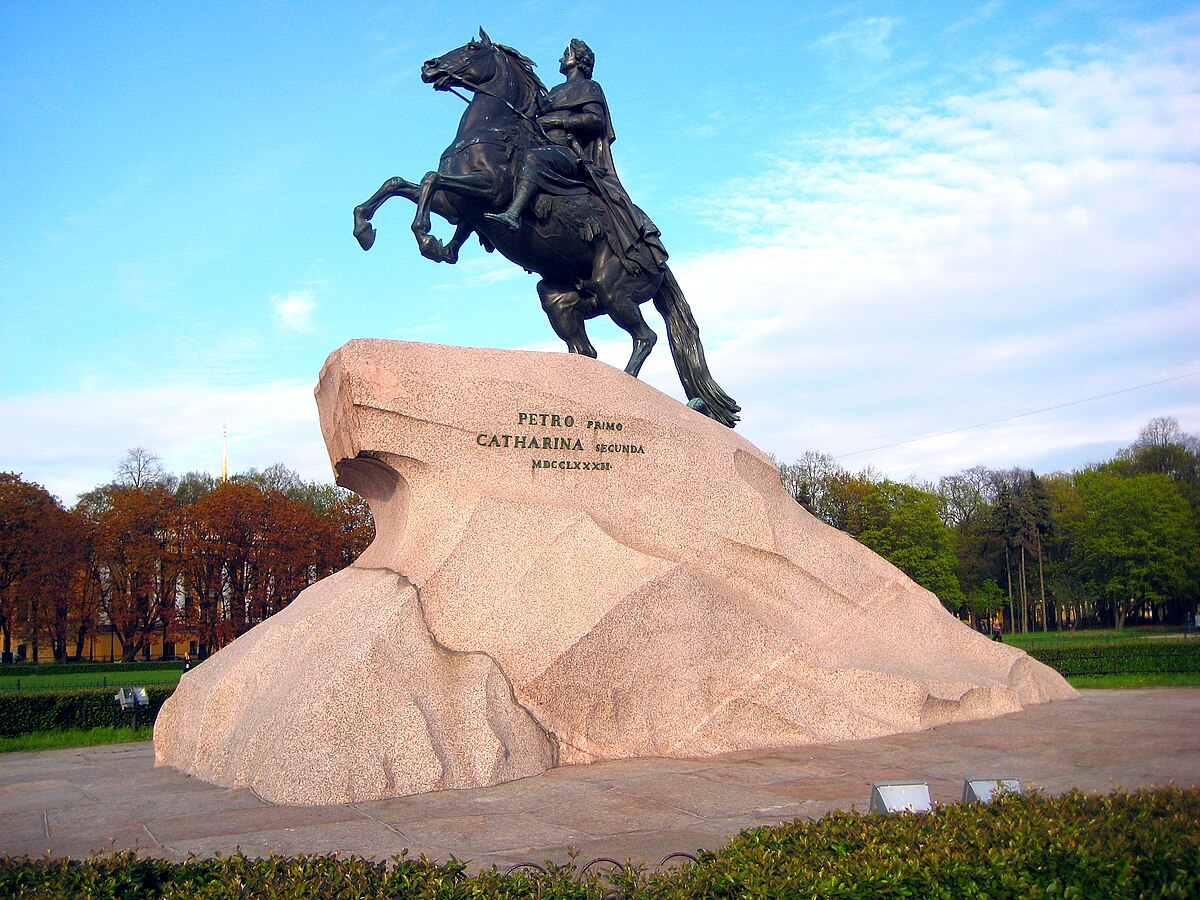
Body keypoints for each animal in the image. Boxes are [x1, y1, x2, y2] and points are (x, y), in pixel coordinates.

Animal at [350, 31, 739, 429]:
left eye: (472, 48)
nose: (429, 67)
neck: (492, 129)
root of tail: (660, 260)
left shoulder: (489, 191)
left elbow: (429, 180)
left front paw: (426, 236)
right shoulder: (455, 205)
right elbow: (400, 183)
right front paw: (367, 228)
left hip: (613, 291)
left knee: (645, 337)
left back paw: (627, 388)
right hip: (561, 299)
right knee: (586, 349)